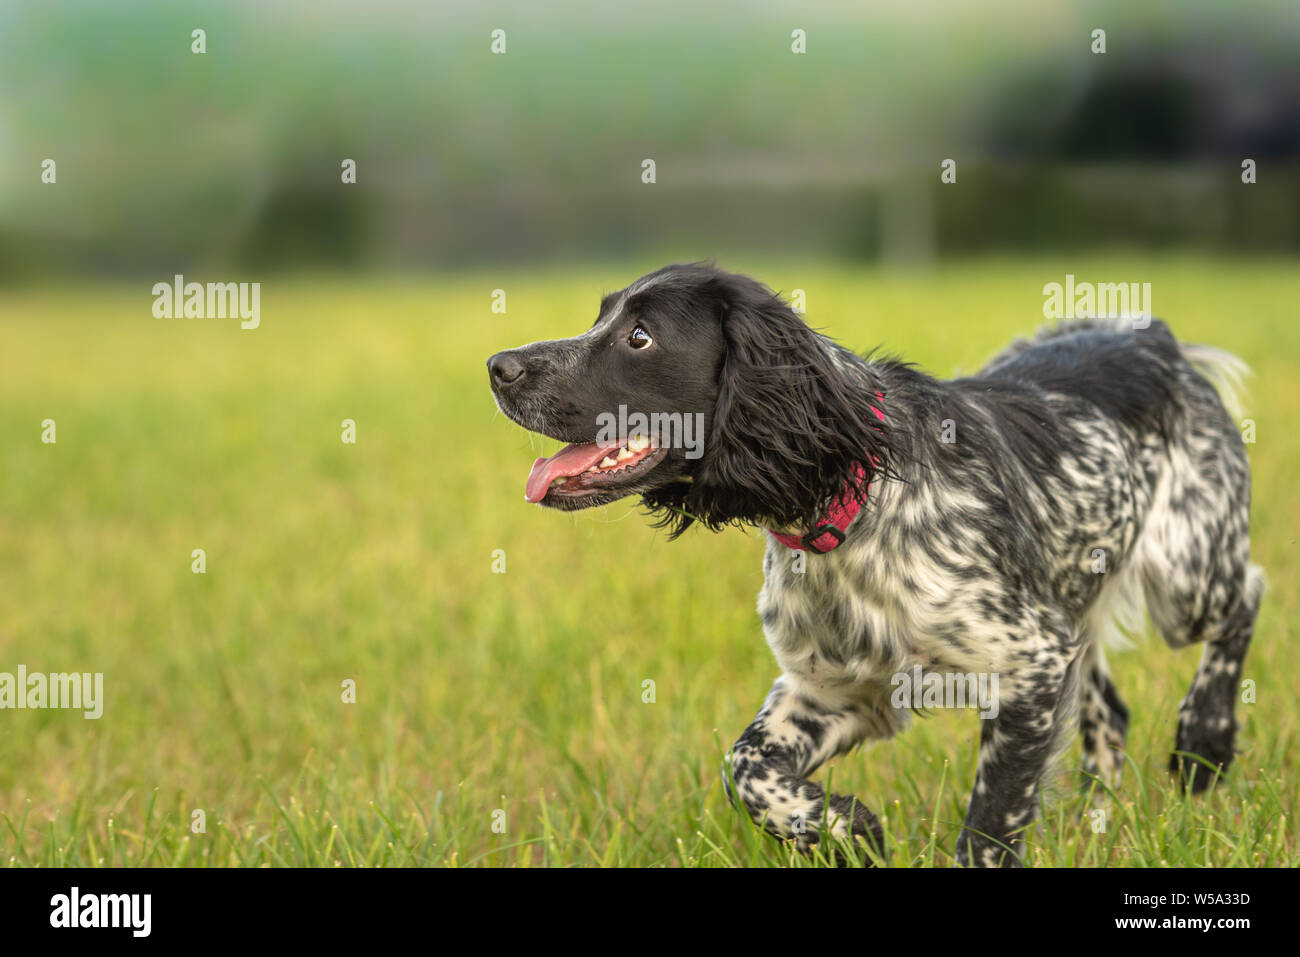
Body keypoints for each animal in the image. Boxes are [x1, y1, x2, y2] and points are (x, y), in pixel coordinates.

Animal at [486, 261, 1258, 868]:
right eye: (601, 317)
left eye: (639, 337)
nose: (498, 367)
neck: (852, 506)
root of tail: (1151, 336)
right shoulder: (834, 691)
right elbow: (745, 768)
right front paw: (841, 828)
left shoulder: (1029, 660)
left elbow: (992, 817)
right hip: (1078, 600)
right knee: (1110, 709)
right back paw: (1097, 813)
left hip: (1185, 574)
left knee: (1246, 595)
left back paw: (1205, 739)